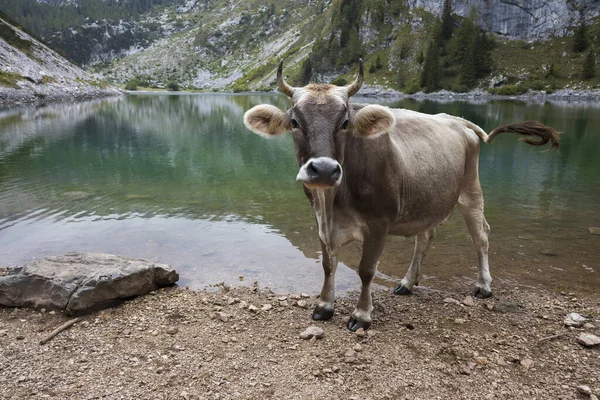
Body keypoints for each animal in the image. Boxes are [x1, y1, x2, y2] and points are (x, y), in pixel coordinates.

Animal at [241, 60, 560, 332]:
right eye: (295, 121)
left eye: (345, 122)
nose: (323, 169)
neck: (331, 204)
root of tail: (456, 119)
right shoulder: (321, 223)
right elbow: (328, 264)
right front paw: (324, 306)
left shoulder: (378, 223)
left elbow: (366, 270)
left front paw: (362, 315)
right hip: (428, 200)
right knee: (425, 237)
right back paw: (407, 283)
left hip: (471, 190)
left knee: (480, 236)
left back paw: (483, 286)